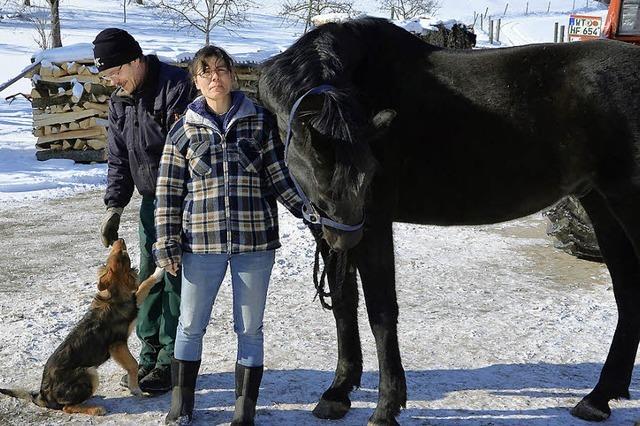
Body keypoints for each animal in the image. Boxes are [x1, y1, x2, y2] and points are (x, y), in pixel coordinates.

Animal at [0, 240, 168, 416]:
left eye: (112, 255)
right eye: (123, 255)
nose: (119, 239)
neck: (114, 294)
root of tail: (43, 396)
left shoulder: (135, 301)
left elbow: (146, 284)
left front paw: (159, 271)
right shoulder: (117, 345)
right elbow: (133, 364)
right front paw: (136, 389)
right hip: (89, 373)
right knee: (67, 407)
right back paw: (95, 409)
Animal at [258, 17, 640, 426]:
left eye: (371, 175)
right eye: (323, 188)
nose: (347, 240)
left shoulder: (374, 223)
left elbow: (381, 310)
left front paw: (386, 407)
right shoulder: (324, 226)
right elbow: (344, 303)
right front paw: (338, 392)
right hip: (601, 205)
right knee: (628, 293)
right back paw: (599, 397)